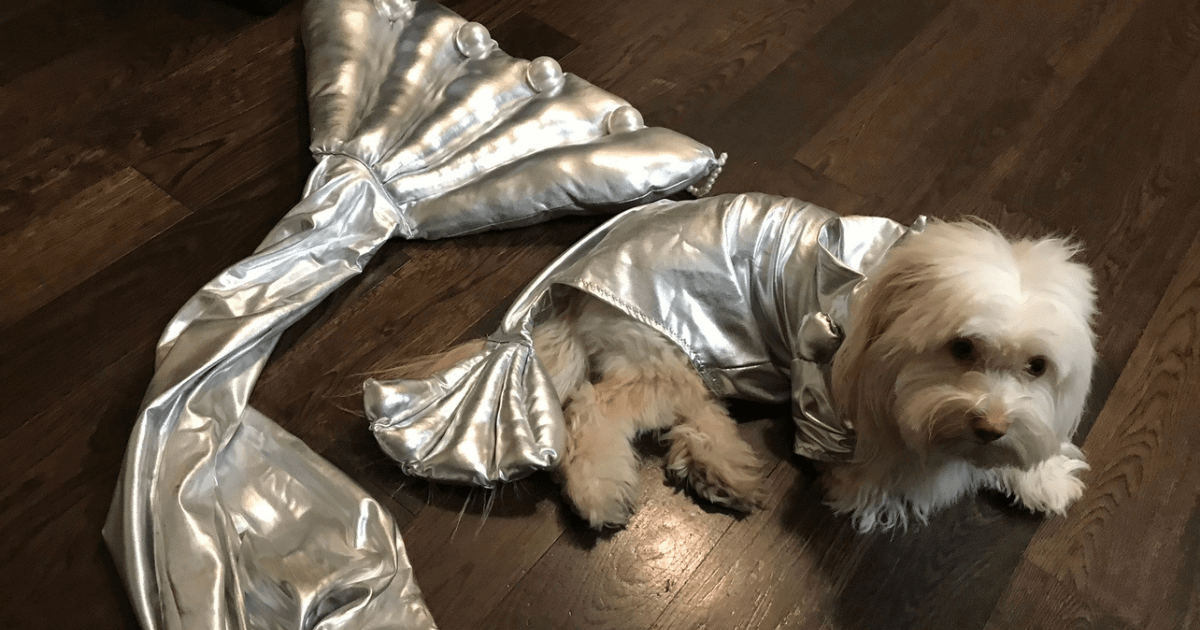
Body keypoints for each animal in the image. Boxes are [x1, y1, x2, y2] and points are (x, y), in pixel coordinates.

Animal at [525, 218, 1099, 532]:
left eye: (1037, 367)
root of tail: (574, 297)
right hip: (662, 354)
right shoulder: (824, 389)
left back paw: (723, 471)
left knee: (697, 412)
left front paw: (1041, 475)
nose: (991, 427)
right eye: (962, 348)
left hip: (688, 362)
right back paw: (600, 491)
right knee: (591, 409)